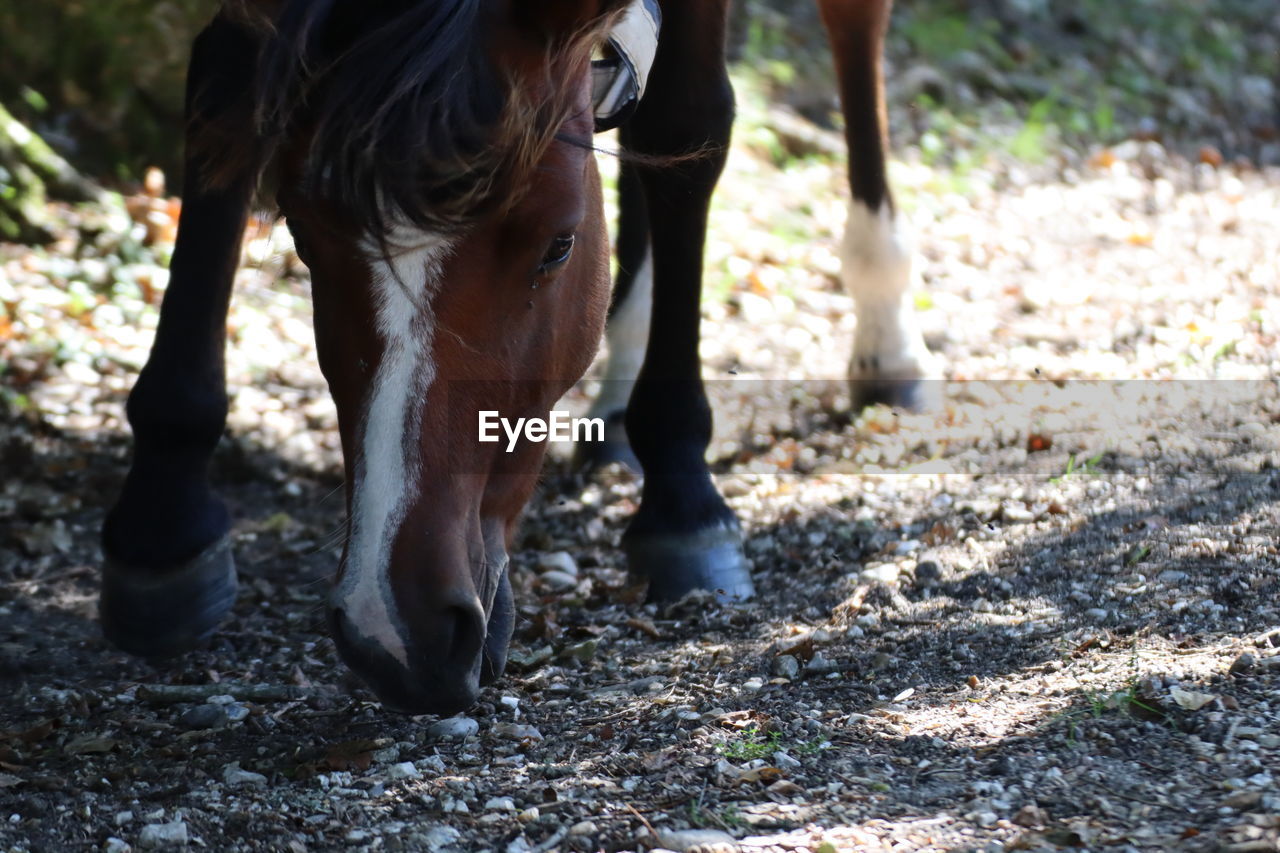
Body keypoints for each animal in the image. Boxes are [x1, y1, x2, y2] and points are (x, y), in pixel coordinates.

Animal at [94, 0, 926, 712]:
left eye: (557, 245)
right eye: (302, 235)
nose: (396, 625)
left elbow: (685, 124)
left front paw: (683, 495)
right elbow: (226, 81)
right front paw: (163, 510)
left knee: (849, 28)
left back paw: (884, 331)